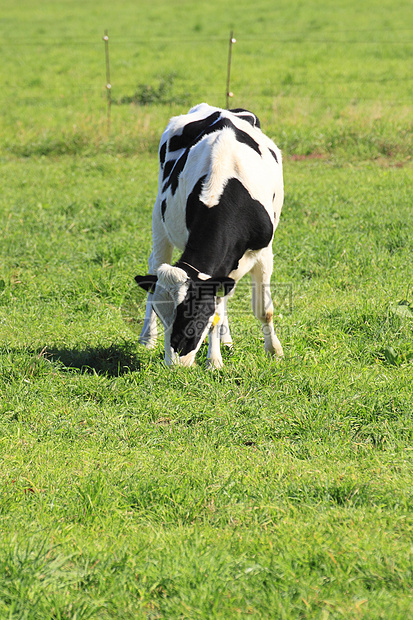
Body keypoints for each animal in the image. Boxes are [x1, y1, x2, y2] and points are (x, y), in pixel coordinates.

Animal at [135, 103, 284, 368]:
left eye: (193, 316)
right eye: (164, 318)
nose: (174, 365)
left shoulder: (264, 252)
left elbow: (263, 309)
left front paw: (274, 351)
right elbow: (216, 310)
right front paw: (214, 361)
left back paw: (226, 340)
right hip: (158, 218)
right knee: (154, 267)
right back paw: (146, 338)